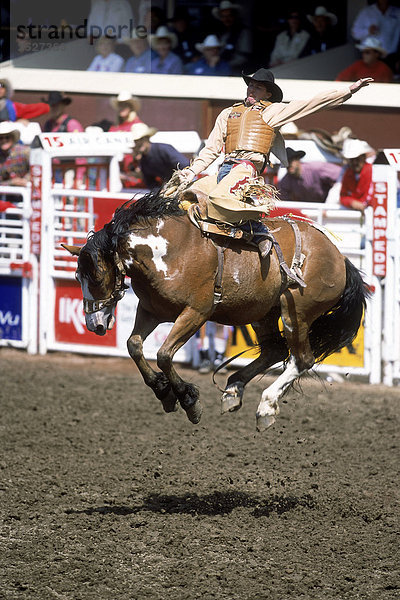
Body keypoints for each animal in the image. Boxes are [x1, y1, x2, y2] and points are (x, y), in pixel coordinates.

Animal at [64, 192, 370, 432]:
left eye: (97, 277)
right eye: (78, 277)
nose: (94, 324)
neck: (169, 250)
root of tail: (339, 257)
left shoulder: (197, 312)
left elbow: (164, 355)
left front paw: (188, 400)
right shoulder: (151, 310)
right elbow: (134, 346)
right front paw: (164, 392)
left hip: (297, 313)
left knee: (301, 359)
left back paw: (266, 407)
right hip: (264, 313)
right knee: (275, 350)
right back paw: (233, 390)